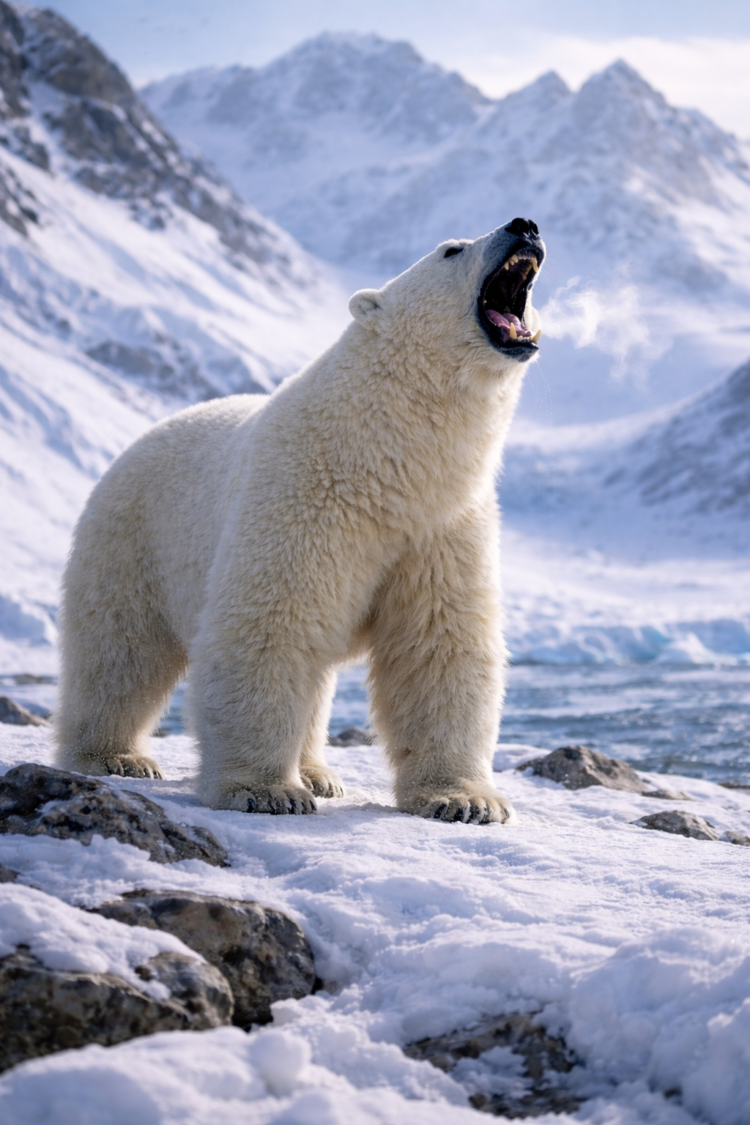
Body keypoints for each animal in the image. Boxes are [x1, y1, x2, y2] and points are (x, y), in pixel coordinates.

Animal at [56, 217, 545, 824]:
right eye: (452, 249)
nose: (524, 225)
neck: (383, 463)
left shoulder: (441, 527)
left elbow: (440, 645)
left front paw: (464, 800)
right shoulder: (304, 500)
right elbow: (271, 625)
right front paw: (266, 792)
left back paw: (318, 772)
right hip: (133, 535)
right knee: (119, 652)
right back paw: (114, 757)